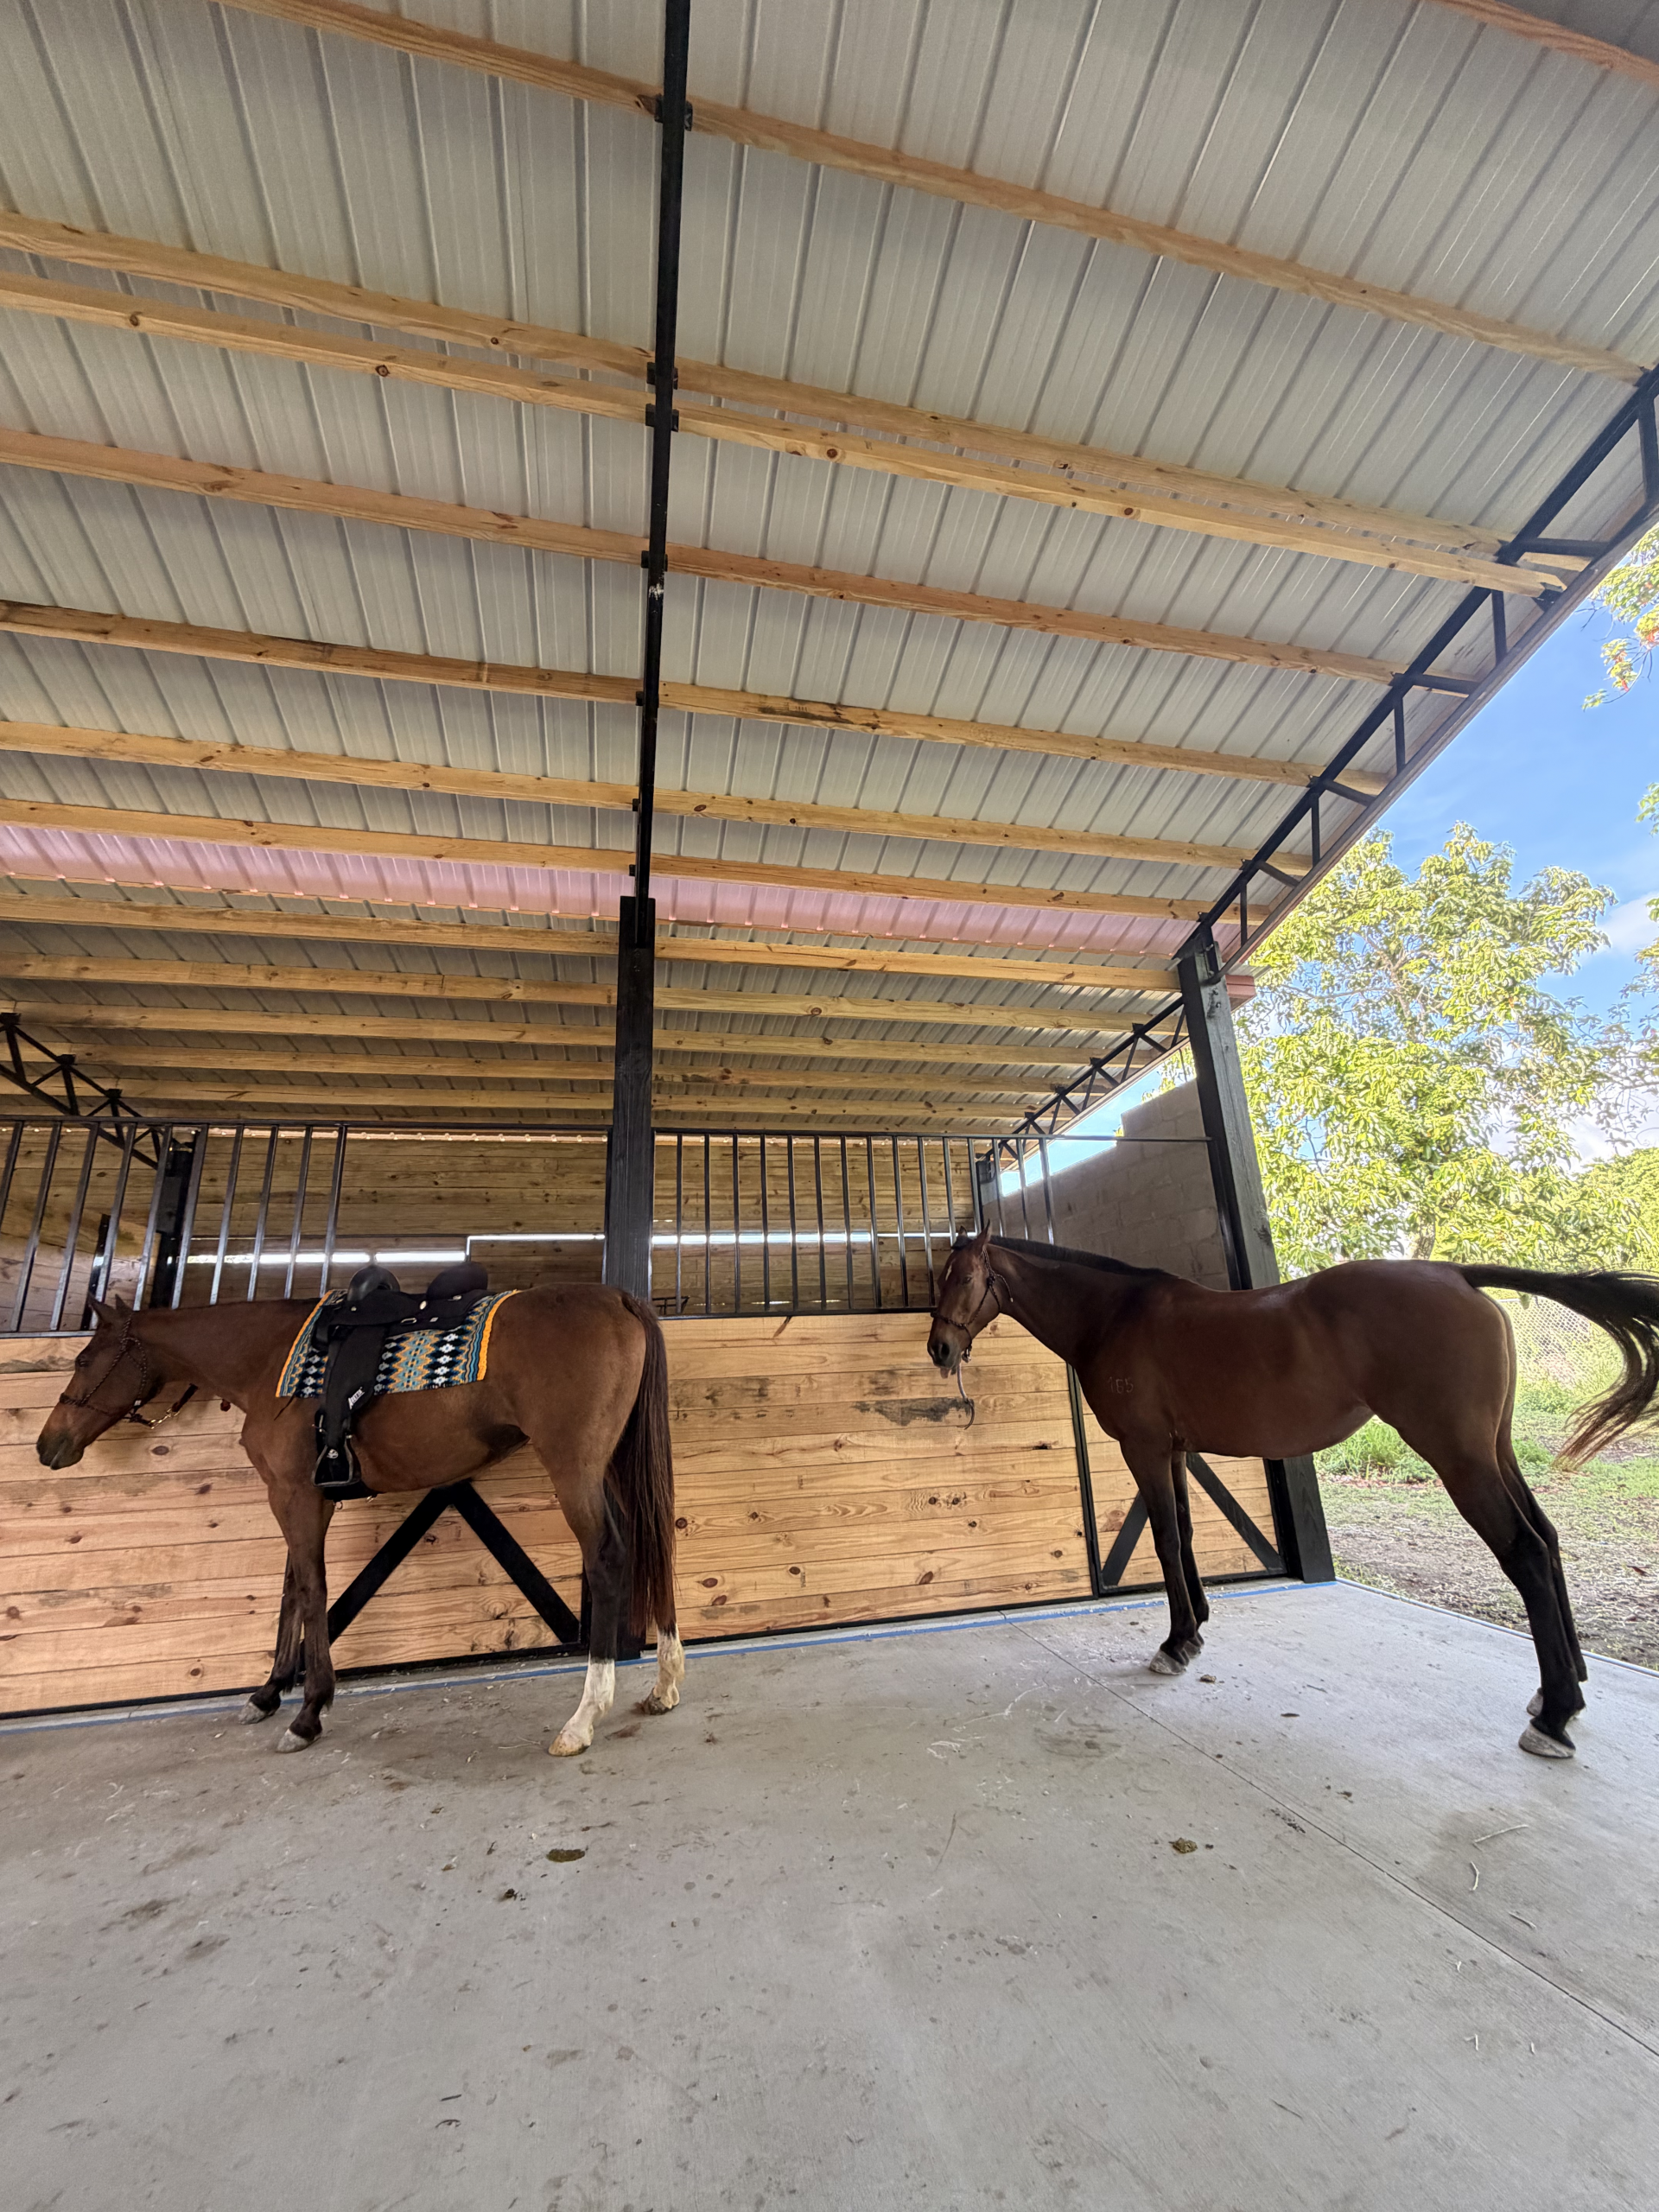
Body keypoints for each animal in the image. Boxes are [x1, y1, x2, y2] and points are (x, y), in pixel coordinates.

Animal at [34, 1285, 684, 1758]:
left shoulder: (295, 1496)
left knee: (608, 1558)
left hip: (574, 1468)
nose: (47, 1445)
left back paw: (583, 1717)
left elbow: (311, 1588)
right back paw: (664, 1684)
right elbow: (292, 1590)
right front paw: (268, 1693)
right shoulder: (299, 1497)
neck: (267, 1359)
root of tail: (615, 1298)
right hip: (614, 1464)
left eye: (84, 1359)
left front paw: (307, 1711)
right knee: (652, 1541)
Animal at [927, 1231, 1659, 1759]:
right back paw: (1561, 1692)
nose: (938, 1347)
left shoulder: (1145, 1449)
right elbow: (1183, 1536)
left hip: (1459, 1457)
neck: (1115, 1315)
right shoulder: (1176, 1451)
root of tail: (1457, 1274)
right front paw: (1196, 1632)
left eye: (960, 1277)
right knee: (1549, 1541)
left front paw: (1174, 1643)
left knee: (1526, 1552)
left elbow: (1163, 1541)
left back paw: (1554, 1716)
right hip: (1493, 1451)